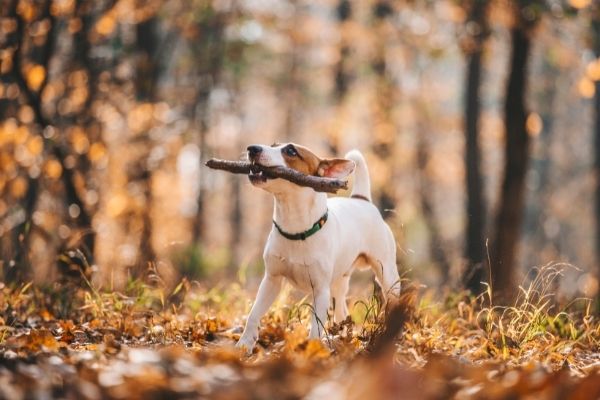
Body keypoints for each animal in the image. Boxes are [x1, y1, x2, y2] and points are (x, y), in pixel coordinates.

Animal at [237, 143, 400, 350]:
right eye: (272, 145)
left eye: (290, 151)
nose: (252, 148)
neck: (296, 230)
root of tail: (361, 199)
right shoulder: (271, 280)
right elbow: (254, 313)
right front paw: (244, 344)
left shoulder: (321, 290)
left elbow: (315, 326)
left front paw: (311, 350)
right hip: (341, 278)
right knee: (341, 306)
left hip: (387, 274)